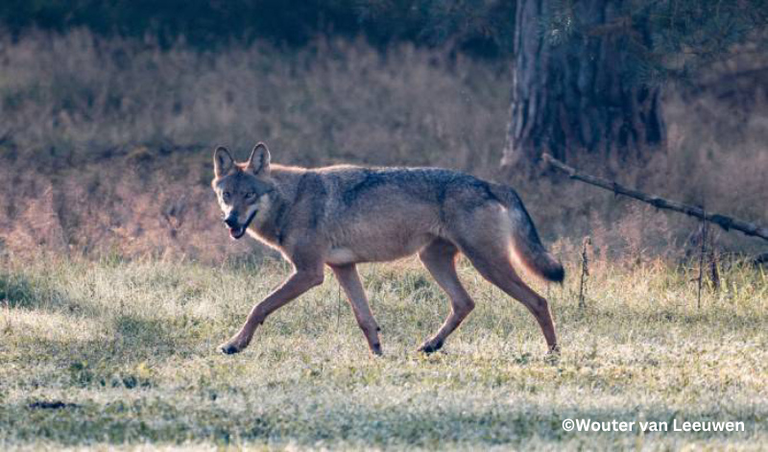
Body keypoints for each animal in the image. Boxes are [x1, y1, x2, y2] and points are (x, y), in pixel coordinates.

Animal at [212, 142, 564, 356]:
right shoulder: (343, 268)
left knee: (539, 301)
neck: (292, 201)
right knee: (465, 303)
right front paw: (378, 354)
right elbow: (365, 319)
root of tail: (490, 183)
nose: (230, 221)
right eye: (227, 194)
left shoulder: (310, 273)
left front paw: (234, 344)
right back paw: (431, 345)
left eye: (249, 195)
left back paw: (553, 354)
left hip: (488, 265)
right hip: (433, 260)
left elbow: (259, 306)